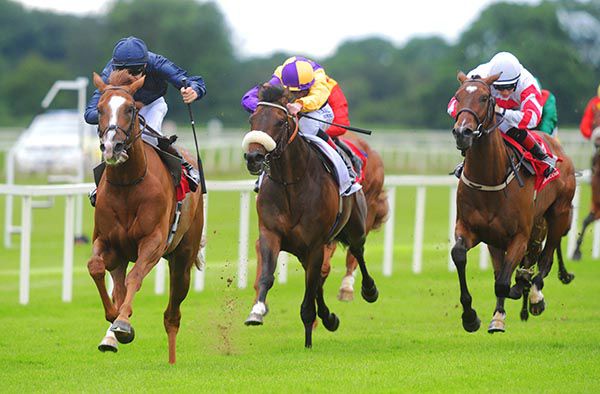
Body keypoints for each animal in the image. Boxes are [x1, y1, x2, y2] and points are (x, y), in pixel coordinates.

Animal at [86, 70, 204, 364]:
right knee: (117, 285)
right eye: (100, 109)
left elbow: (135, 278)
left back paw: (171, 359)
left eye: (130, 108)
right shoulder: (107, 241)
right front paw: (114, 318)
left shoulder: (153, 241)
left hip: (182, 258)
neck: (128, 183)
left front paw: (123, 324)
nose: (112, 147)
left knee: (172, 314)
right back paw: (110, 337)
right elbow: (96, 268)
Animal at [452, 71, 576, 332]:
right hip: (501, 237)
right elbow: (460, 255)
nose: (462, 132)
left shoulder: (519, 236)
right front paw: (470, 317)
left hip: (558, 214)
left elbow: (503, 282)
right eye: (457, 97)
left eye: (484, 97)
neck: (489, 178)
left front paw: (517, 292)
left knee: (546, 258)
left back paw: (535, 295)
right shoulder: (470, 229)